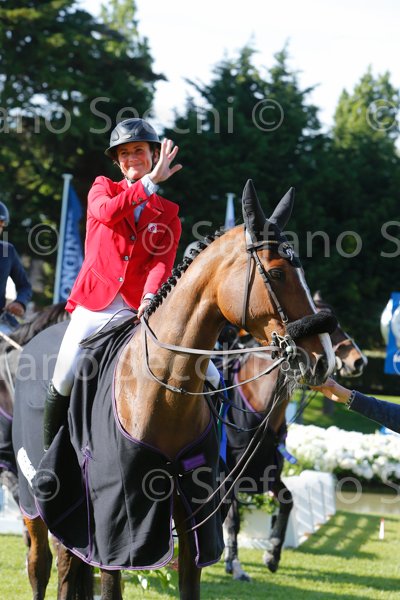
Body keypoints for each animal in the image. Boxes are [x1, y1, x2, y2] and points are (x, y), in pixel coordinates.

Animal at [12, 180, 336, 600]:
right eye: (278, 274)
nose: (323, 359)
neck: (164, 392)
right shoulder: (118, 524)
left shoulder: (196, 513)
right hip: (37, 501)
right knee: (41, 563)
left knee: (69, 563)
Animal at [222, 293, 368, 581]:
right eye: (329, 325)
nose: (358, 361)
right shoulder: (228, 474)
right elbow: (232, 520)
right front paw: (234, 563)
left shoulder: (268, 472)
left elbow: (288, 502)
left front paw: (272, 554)